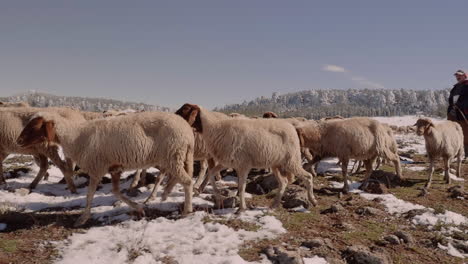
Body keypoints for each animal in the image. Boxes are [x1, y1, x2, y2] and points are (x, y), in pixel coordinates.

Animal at [16, 110, 194, 226]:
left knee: (187, 181)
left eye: (35, 125)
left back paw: (187, 210)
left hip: (172, 155)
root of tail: (187, 132)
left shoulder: (96, 168)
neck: (74, 137)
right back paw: (166, 194)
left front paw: (82, 219)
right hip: (178, 157)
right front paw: (138, 208)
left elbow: (89, 195)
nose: (18, 140)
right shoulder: (114, 168)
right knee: (179, 178)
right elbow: (115, 192)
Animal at [176, 103, 318, 212]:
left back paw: (313, 200)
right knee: (283, 182)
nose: (174, 117)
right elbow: (211, 174)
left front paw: (241, 209)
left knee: (307, 177)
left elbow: (241, 187)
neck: (214, 129)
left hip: (291, 161)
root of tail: (292, 127)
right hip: (276, 164)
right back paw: (274, 204)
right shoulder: (226, 162)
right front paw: (218, 196)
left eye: (185, 109)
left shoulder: (243, 165)